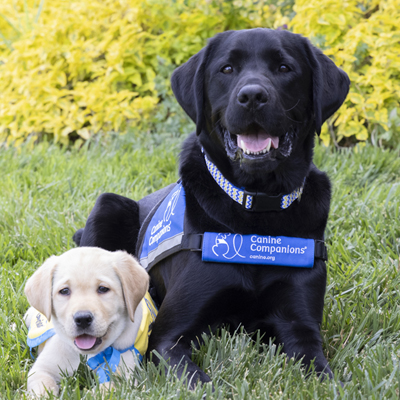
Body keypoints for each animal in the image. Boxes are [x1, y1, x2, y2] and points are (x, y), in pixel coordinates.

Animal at [23, 247, 158, 396]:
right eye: (64, 291)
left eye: (103, 289)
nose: (82, 319)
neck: (86, 354)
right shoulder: (42, 370)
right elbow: (42, 389)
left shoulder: (123, 377)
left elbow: (105, 390)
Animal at [73, 28, 348, 384]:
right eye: (227, 69)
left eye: (284, 68)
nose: (252, 96)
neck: (257, 209)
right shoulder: (167, 336)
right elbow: (198, 382)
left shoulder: (301, 326)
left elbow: (321, 374)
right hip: (108, 205)